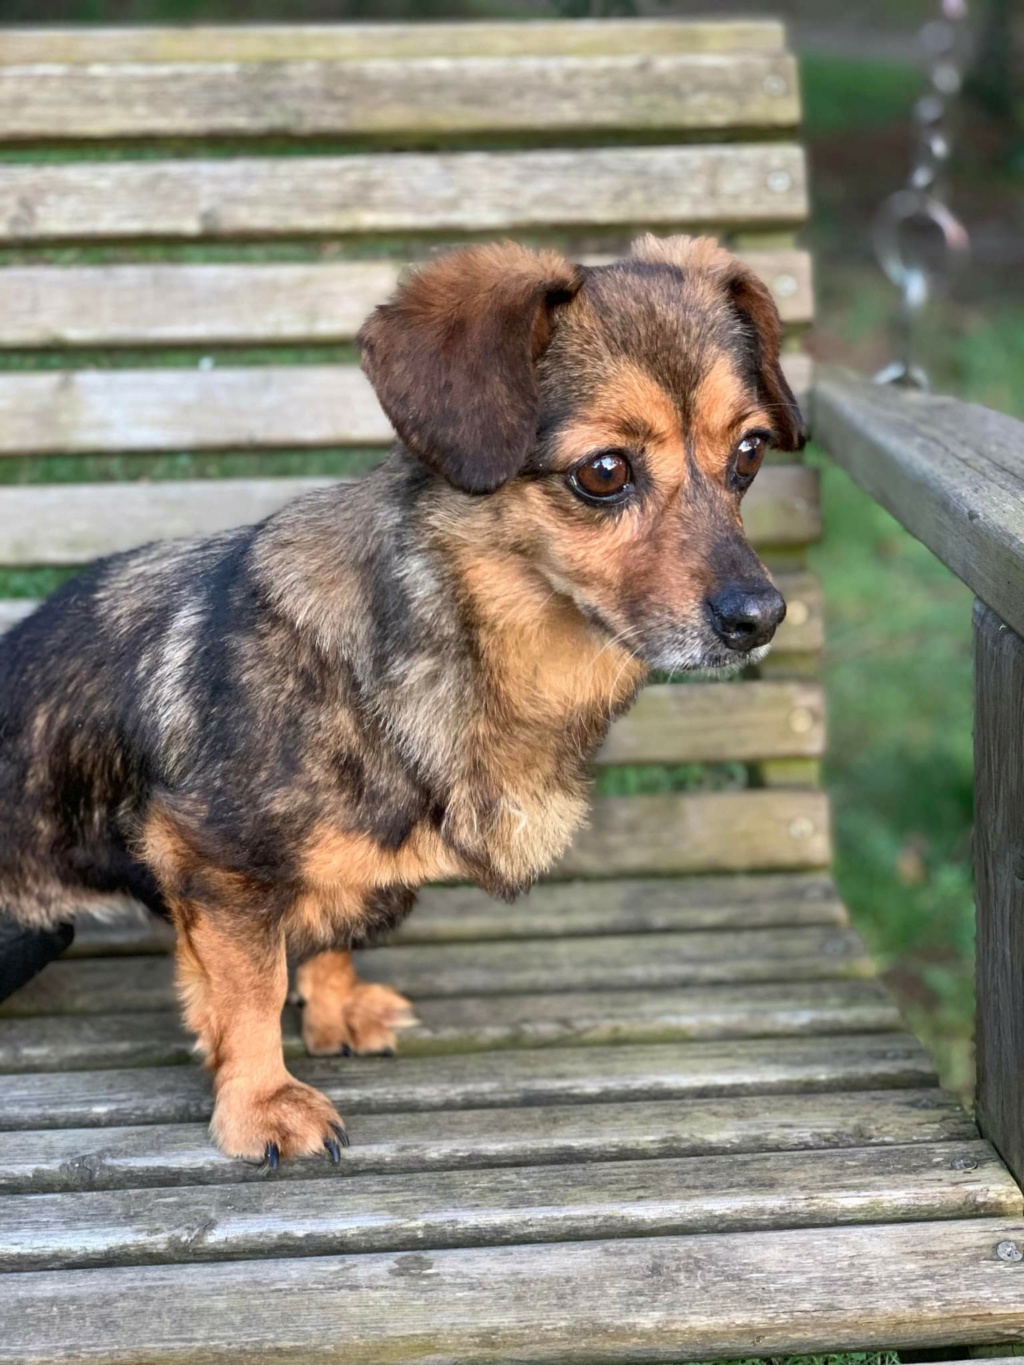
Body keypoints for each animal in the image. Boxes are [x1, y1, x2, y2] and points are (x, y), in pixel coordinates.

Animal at [0, 232, 802, 1162]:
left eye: (749, 453)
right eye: (604, 472)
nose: (761, 617)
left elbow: (324, 940)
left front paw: (336, 1003)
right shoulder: (211, 857)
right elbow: (249, 988)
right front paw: (262, 1101)